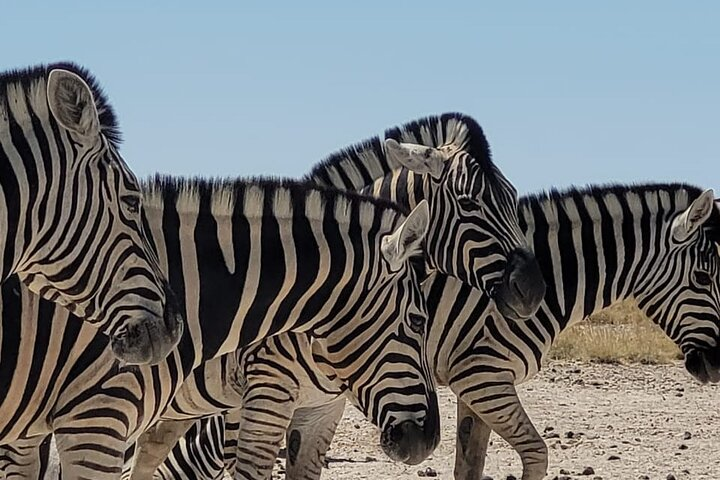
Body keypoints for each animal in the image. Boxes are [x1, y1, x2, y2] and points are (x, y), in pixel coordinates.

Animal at [160, 181, 720, 480]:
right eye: (705, 276)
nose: (715, 368)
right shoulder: (484, 375)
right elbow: (536, 453)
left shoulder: (477, 388)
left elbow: (469, 464)